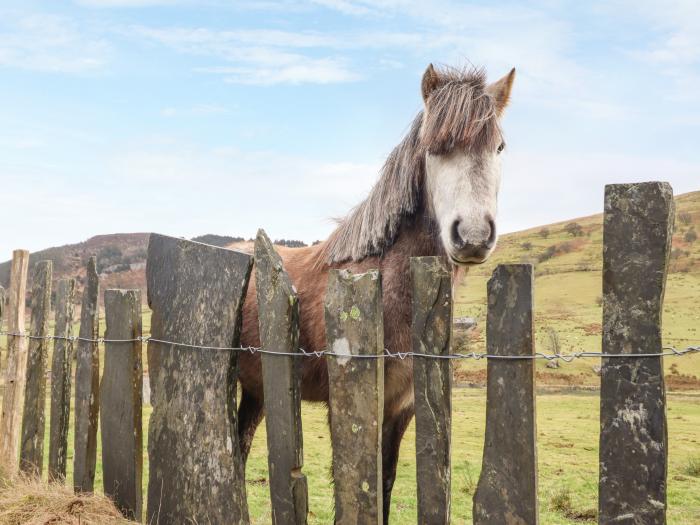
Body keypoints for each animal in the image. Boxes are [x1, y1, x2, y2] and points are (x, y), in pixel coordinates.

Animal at [238, 63, 516, 520]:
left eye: (499, 147)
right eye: (433, 150)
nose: (473, 236)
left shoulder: (401, 410)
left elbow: (384, 485)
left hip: (257, 391)